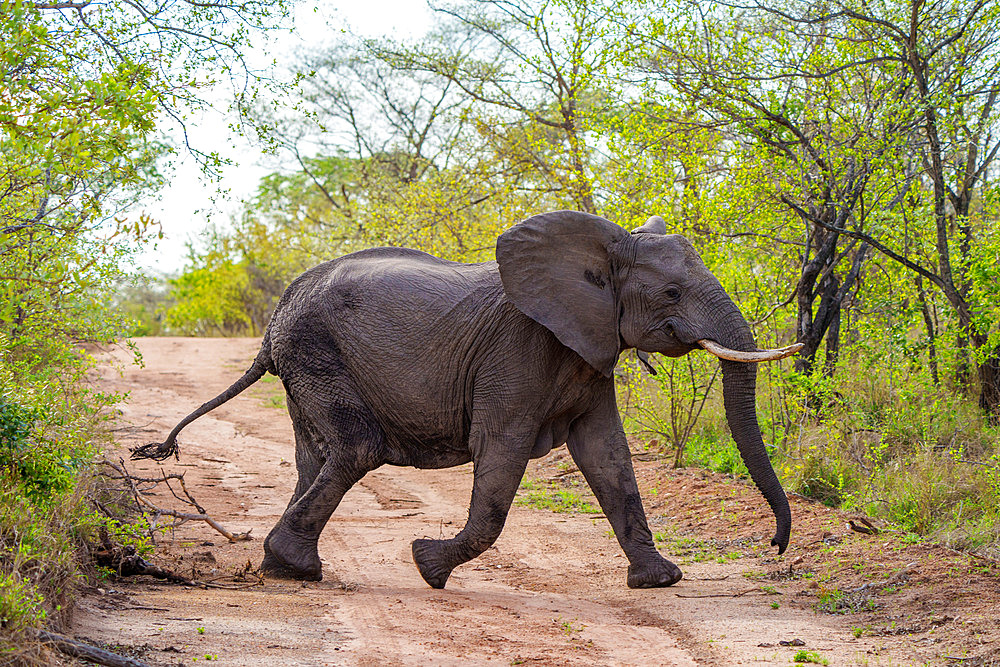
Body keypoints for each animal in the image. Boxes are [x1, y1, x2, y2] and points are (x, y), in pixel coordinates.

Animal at [137, 209, 800, 588]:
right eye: (671, 293)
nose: (774, 544)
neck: (599, 249)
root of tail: (278, 314)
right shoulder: (521, 352)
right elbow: (501, 453)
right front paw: (427, 566)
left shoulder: (587, 349)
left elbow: (608, 457)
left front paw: (660, 581)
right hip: (315, 352)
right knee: (355, 449)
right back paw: (296, 568)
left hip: (307, 365)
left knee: (315, 456)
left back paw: (288, 566)